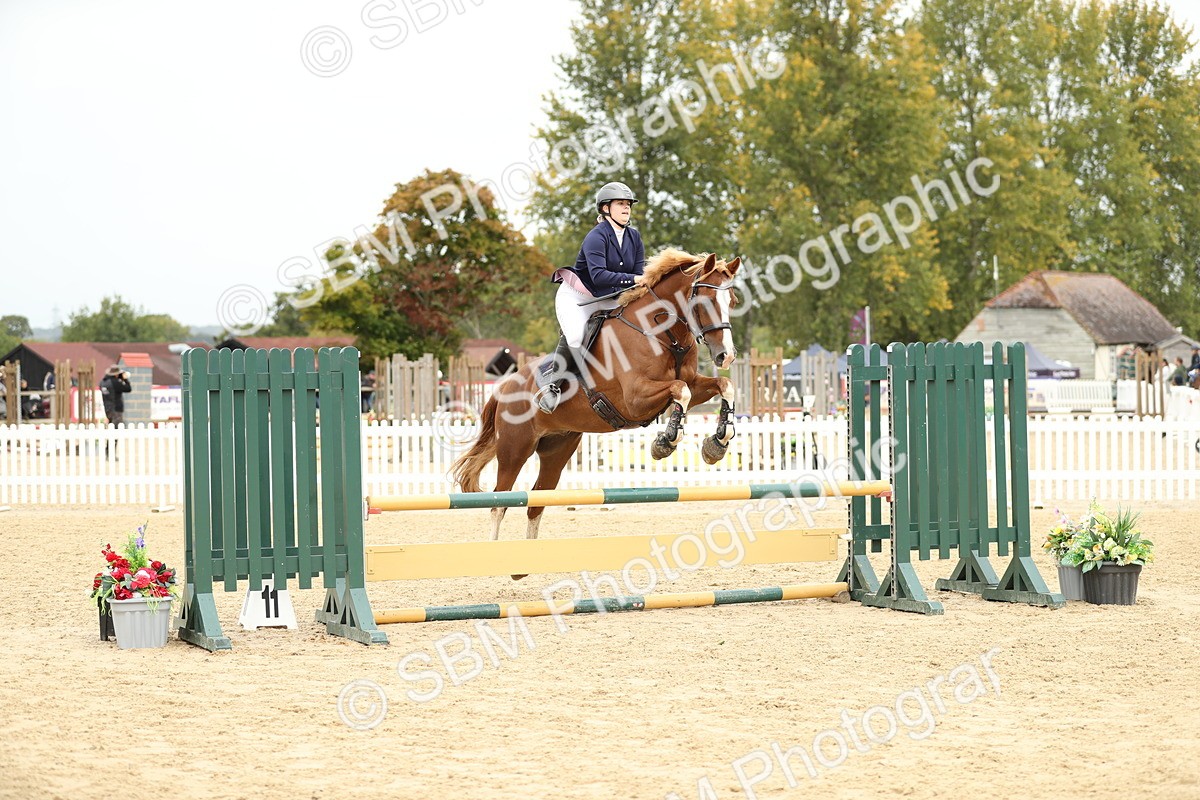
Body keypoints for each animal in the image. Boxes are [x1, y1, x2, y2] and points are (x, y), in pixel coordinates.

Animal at [451, 248, 742, 542]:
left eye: (732, 301)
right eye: (706, 302)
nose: (726, 356)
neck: (662, 333)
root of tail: (503, 388)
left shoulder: (693, 383)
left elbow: (722, 386)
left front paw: (717, 443)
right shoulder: (635, 399)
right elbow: (680, 390)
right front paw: (665, 442)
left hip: (557, 450)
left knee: (535, 504)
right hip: (514, 450)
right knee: (499, 504)